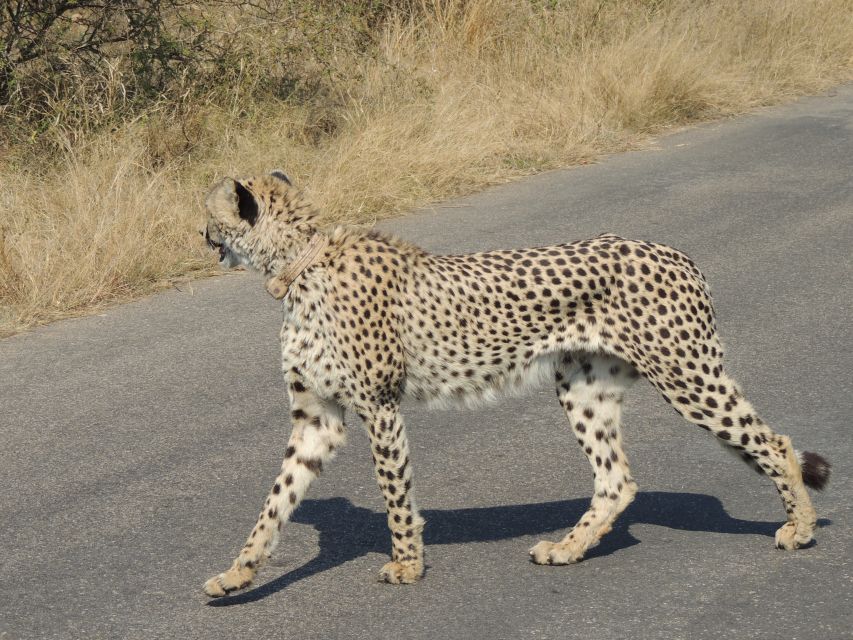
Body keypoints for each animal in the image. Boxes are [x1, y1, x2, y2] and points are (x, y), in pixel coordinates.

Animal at [200, 170, 830, 597]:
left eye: (209, 216)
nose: (199, 237)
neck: (297, 267)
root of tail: (675, 252)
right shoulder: (318, 420)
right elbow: (275, 501)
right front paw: (237, 573)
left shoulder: (379, 407)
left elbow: (395, 494)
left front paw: (407, 564)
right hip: (584, 388)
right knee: (616, 479)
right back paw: (568, 549)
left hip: (686, 375)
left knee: (773, 443)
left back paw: (799, 528)